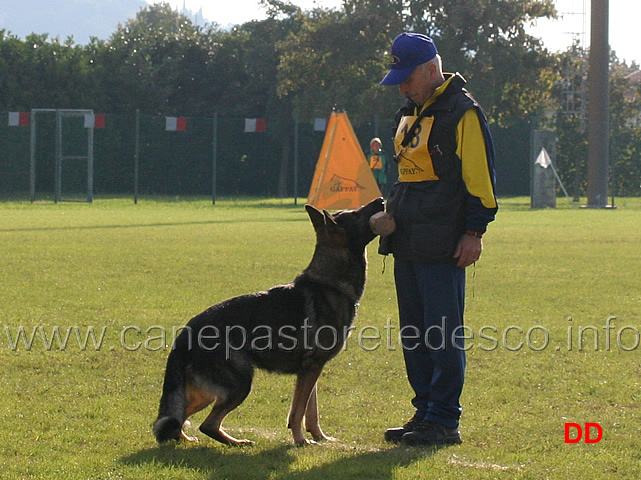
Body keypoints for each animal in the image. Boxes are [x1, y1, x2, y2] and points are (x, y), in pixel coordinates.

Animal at [152, 197, 382, 444]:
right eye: (356, 214)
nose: (381, 200)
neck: (330, 283)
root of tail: (186, 333)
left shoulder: (311, 370)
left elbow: (311, 411)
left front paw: (320, 437)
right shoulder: (311, 367)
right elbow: (298, 411)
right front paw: (301, 441)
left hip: (208, 393)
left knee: (176, 419)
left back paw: (187, 438)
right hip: (240, 384)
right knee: (206, 424)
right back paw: (236, 442)